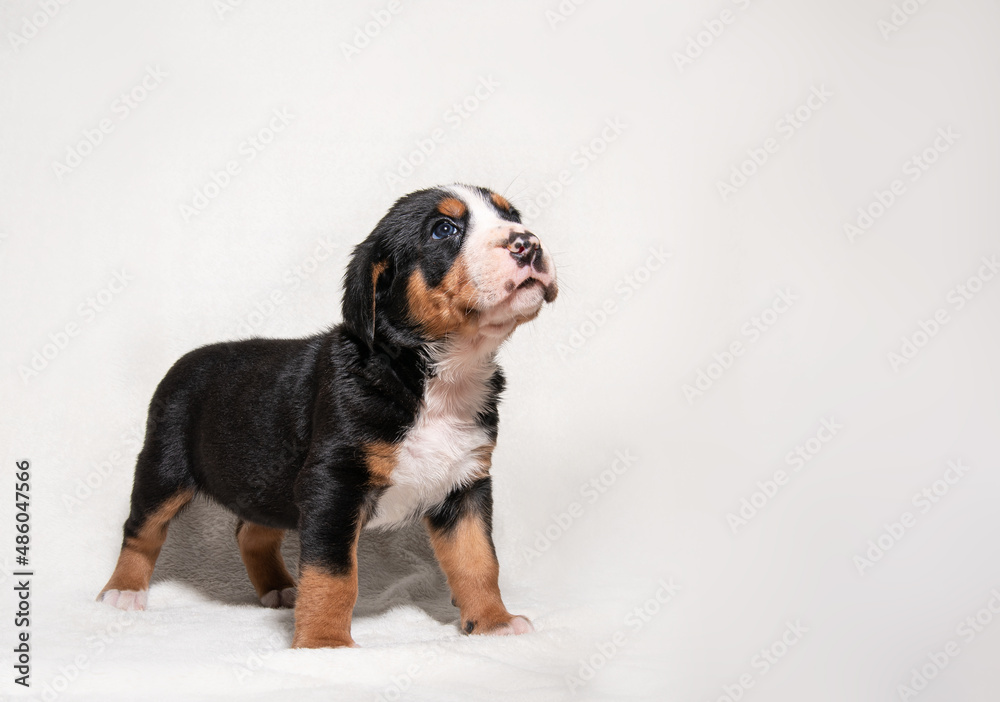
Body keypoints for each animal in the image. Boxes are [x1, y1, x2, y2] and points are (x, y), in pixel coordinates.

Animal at [97, 183, 560, 648]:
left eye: (511, 216)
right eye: (444, 229)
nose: (528, 243)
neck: (440, 380)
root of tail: (186, 360)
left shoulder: (464, 485)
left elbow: (478, 561)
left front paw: (493, 622)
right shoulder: (334, 482)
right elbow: (333, 574)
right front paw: (324, 643)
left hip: (269, 485)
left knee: (251, 532)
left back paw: (280, 588)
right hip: (164, 466)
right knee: (141, 529)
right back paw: (123, 590)